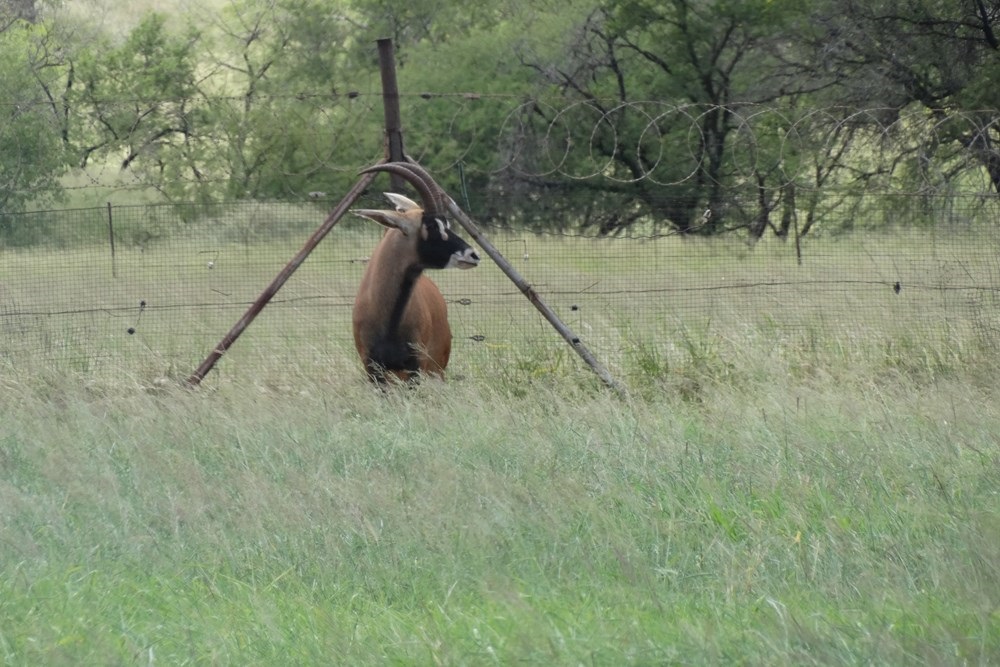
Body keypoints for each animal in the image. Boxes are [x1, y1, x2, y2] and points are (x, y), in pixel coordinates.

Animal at [352, 160, 480, 380]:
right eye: (431, 225)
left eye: (446, 223)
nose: (473, 255)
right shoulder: (373, 369)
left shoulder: (415, 367)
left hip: (435, 370)